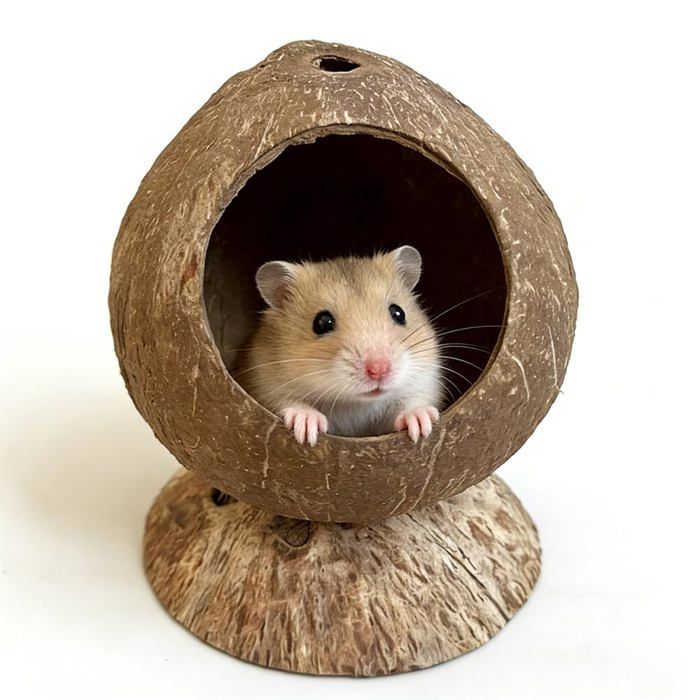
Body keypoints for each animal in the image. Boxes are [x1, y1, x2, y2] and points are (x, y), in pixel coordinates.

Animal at [238, 246, 442, 445]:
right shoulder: (263, 386)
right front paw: (308, 429)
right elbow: (288, 401)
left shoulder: (423, 383)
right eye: (322, 322)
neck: (354, 403)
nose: (379, 370)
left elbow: (412, 402)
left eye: (398, 313)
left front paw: (422, 425)